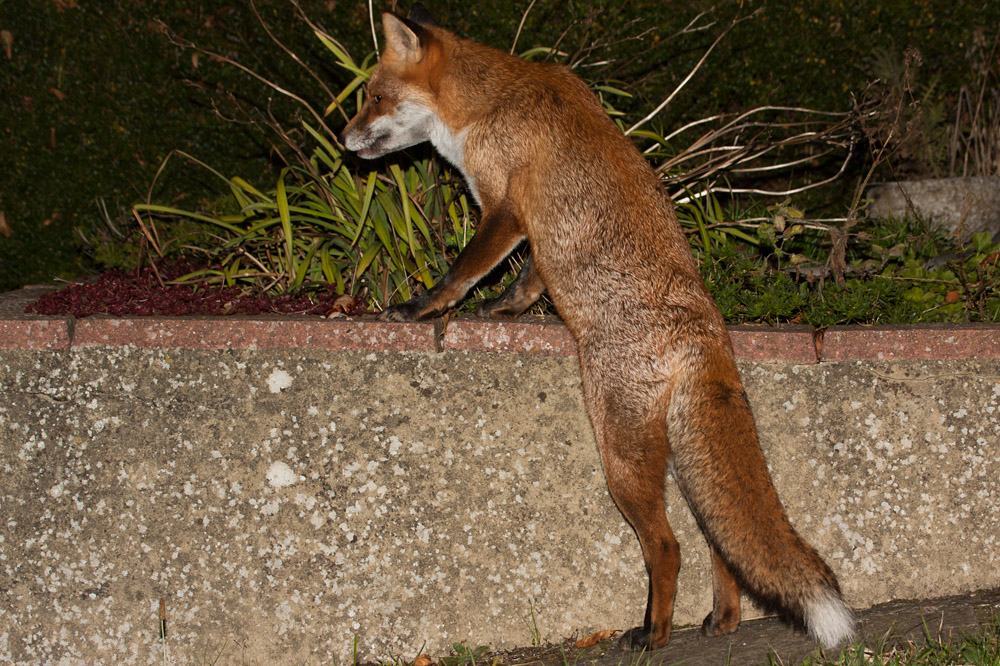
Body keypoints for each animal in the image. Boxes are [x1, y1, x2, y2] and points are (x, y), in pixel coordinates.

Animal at [341, 4, 856, 651]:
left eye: (375, 97)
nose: (342, 140)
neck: (486, 104)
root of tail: (705, 330)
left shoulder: (506, 207)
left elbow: (461, 273)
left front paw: (420, 309)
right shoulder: (538, 233)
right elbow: (529, 280)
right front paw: (503, 311)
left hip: (621, 454)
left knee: (668, 545)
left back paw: (653, 631)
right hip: (677, 462)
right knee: (718, 542)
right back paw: (724, 618)